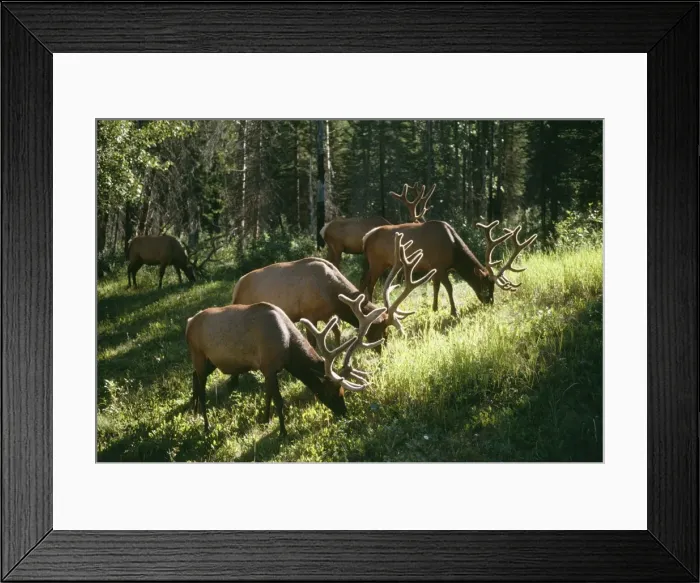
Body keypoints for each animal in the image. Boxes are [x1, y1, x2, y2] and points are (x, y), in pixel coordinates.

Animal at [185, 293, 387, 437]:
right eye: (331, 393)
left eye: (343, 392)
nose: (344, 413)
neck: (288, 349)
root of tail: (188, 323)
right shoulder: (269, 365)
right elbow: (279, 400)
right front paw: (283, 432)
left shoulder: (268, 369)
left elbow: (267, 395)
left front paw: (265, 419)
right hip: (199, 354)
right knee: (202, 389)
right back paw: (206, 425)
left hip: (209, 361)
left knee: (193, 376)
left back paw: (194, 411)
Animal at [231, 235, 436, 348]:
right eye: (380, 331)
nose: (381, 351)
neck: (332, 295)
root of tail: (236, 289)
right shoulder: (309, 314)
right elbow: (313, 342)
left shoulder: (329, 314)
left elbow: (336, 332)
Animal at [360, 219, 537, 317]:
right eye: (485, 285)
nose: (490, 302)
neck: (453, 252)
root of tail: (366, 238)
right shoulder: (439, 266)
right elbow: (449, 287)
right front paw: (454, 311)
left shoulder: (435, 268)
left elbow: (436, 287)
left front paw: (435, 308)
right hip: (377, 262)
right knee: (370, 283)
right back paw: (371, 306)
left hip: (376, 263)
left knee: (364, 280)